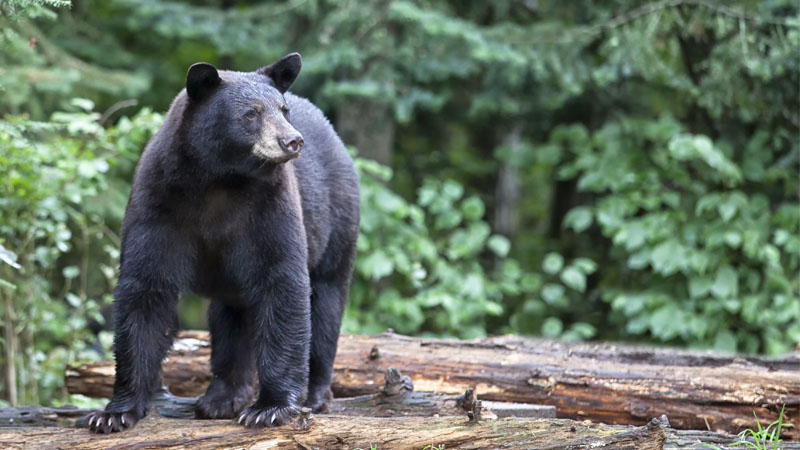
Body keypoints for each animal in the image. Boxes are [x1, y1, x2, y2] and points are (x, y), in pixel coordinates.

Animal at [85, 53, 360, 433]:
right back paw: (222, 397)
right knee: (231, 318)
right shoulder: (158, 204)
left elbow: (282, 283)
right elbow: (145, 290)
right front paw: (114, 412)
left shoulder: (270, 208)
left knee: (326, 303)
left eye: (283, 109)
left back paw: (316, 394)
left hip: (337, 222)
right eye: (251, 113)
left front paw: (270, 408)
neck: (220, 181)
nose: (293, 141)